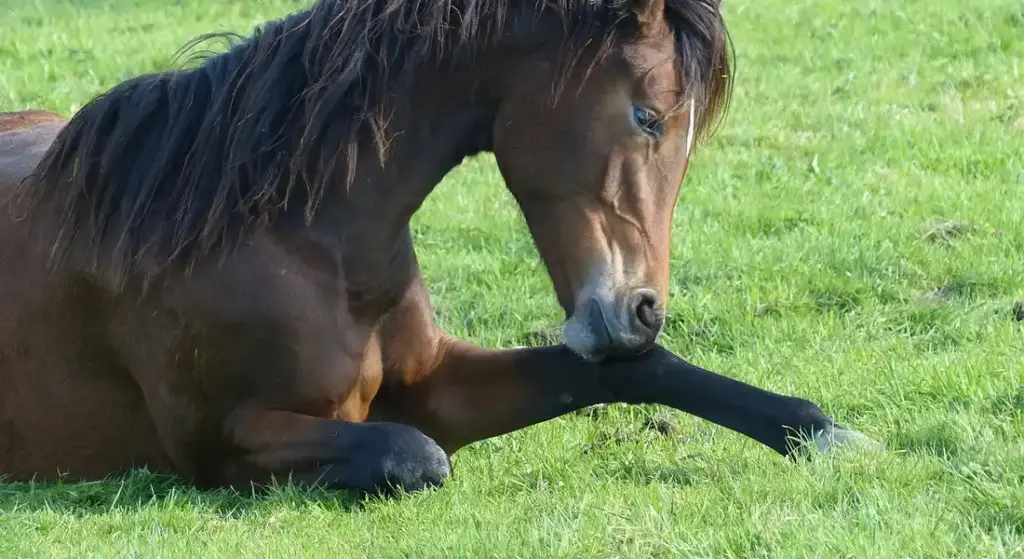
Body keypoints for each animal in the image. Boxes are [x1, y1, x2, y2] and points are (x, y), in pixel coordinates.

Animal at [0, 0, 875, 495]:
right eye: (648, 117)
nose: (642, 309)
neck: (301, 239)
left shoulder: (436, 383)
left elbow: (637, 372)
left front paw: (826, 433)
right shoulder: (216, 442)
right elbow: (414, 456)